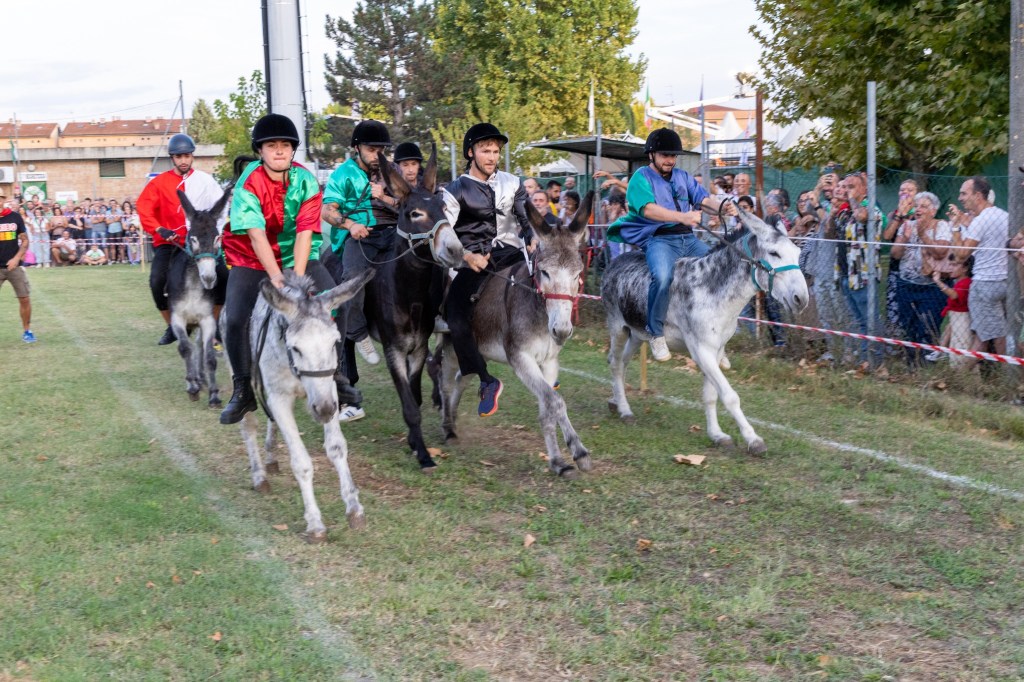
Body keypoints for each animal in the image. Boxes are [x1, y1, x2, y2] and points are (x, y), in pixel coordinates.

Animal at [167, 188, 231, 406]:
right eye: (193, 238)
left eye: (217, 238)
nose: (210, 278)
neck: (194, 285)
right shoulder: (177, 318)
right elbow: (185, 349)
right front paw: (192, 386)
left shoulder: (208, 319)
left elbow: (209, 357)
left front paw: (214, 395)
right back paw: (195, 379)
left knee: (200, 345)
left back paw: (202, 377)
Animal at [238, 268, 376, 542]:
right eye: (296, 348)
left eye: (335, 342)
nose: (323, 410)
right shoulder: (279, 398)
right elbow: (301, 463)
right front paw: (315, 524)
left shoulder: (328, 390)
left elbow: (336, 448)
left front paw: (354, 508)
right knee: (249, 424)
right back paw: (259, 475)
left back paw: (271, 456)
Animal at [361, 148, 464, 472]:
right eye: (415, 214)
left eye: (445, 208)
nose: (456, 251)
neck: (408, 292)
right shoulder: (393, 350)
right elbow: (409, 405)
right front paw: (423, 454)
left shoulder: (417, 347)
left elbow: (415, 396)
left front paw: (413, 441)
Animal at [436, 192, 595, 478]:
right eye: (545, 272)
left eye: (578, 274)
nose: (562, 331)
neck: (539, 310)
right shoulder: (521, 358)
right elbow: (555, 401)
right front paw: (578, 453)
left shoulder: (549, 362)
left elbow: (547, 408)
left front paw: (559, 461)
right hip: (452, 343)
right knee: (445, 382)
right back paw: (448, 427)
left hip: (473, 349)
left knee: (462, 378)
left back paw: (453, 420)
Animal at [601, 206, 808, 455]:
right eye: (774, 253)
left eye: (797, 252)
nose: (801, 299)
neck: (713, 289)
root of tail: (614, 262)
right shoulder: (701, 350)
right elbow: (729, 396)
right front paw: (753, 439)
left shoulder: (716, 350)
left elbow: (710, 395)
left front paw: (717, 435)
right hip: (618, 328)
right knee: (614, 363)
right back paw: (624, 410)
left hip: (637, 335)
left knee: (622, 363)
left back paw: (615, 401)